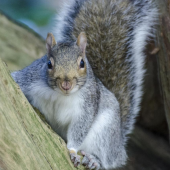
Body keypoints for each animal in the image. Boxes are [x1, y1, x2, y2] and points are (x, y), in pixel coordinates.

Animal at [11, 0, 158, 169]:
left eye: (82, 63)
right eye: (49, 63)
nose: (66, 84)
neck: (60, 95)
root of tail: (119, 145)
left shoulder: (86, 106)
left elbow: (79, 129)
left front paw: (72, 151)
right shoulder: (29, 78)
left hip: (105, 132)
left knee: (106, 159)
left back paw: (94, 160)